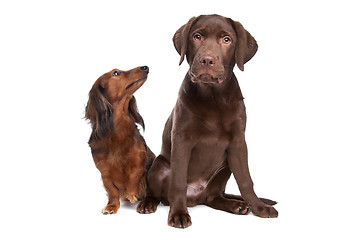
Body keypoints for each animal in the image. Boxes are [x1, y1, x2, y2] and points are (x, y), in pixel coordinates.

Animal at [86, 65, 155, 214]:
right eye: (116, 73)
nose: (145, 67)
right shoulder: (104, 171)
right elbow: (112, 191)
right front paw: (112, 206)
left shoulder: (140, 160)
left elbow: (133, 175)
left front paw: (131, 192)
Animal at [137, 14, 278, 228]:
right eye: (197, 36)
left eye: (227, 40)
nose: (207, 60)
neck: (213, 97)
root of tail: (195, 198)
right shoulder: (181, 139)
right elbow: (178, 181)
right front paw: (178, 214)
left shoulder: (238, 142)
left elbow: (246, 180)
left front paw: (260, 208)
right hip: (159, 166)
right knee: (157, 192)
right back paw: (148, 203)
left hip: (225, 167)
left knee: (213, 198)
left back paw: (235, 205)